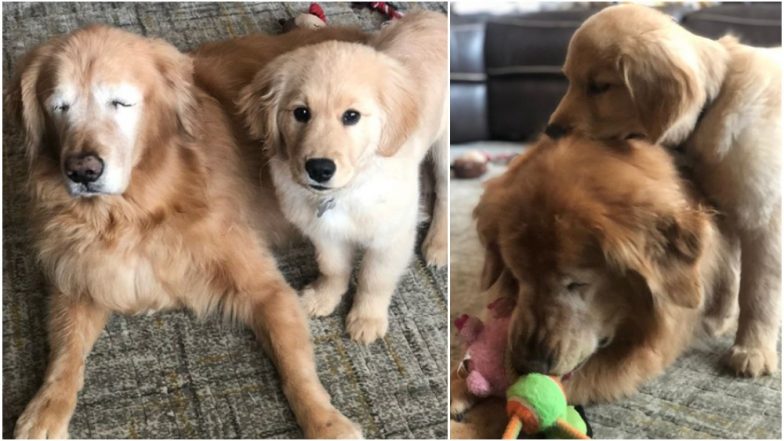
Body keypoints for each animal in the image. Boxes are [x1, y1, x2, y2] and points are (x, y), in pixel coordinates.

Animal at [5, 26, 362, 436]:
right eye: (59, 106)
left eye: (120, 102)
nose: (82, 170)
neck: (132, 214)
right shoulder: (80, 278)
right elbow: (65, 352)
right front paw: (45, 409)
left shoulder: (266, 289)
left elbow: (295, 367)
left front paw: (325, 421)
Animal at [236, 12, 448, 344]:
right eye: (301, 113)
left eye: (351, 116)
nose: (319, 169)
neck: (347, 191)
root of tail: (435, 15)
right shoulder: (324, 231)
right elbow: (333, 268)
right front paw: (324, 297)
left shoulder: (390, 238)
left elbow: (375, 279)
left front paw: (367, 318)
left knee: (447, 190)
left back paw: (439, 243)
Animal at [548, 2, 780, 374]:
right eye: (569, 80)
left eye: (599, 86)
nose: (551, 131)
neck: (714, 103)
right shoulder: (725, 213)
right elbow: (729, 275)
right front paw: (718, 319)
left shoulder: (764, 218)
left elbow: (759, 292)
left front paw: (752, 350)